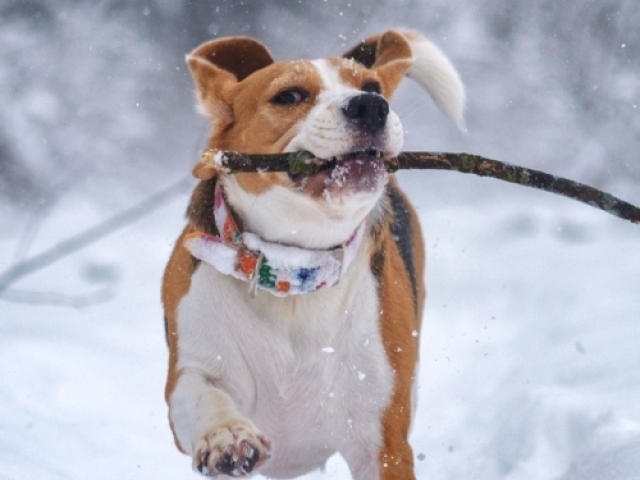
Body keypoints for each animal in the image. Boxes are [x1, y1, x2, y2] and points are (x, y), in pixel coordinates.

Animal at [162, 28, 462, 478]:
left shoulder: (384, 442)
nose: (371, 106)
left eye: (372, 87)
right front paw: (226, 435)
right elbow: (202, 393)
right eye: (288, 96)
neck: (294, 269)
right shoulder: (191, 364)